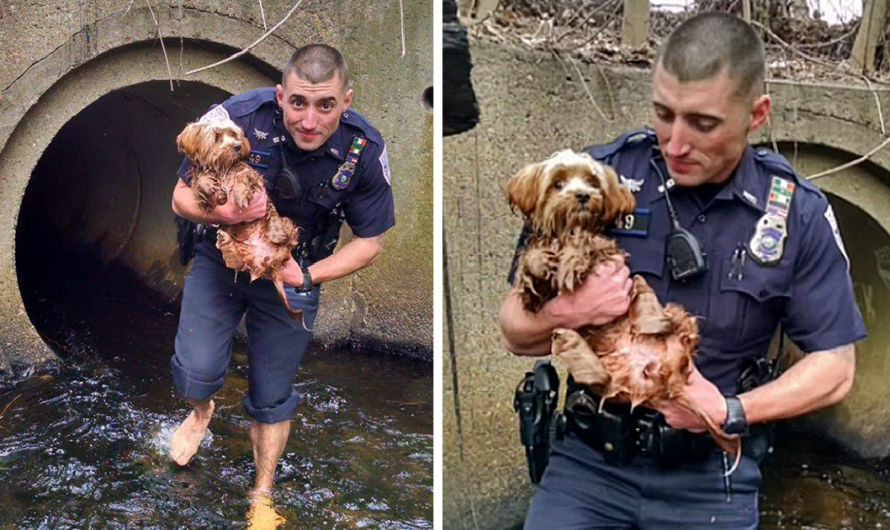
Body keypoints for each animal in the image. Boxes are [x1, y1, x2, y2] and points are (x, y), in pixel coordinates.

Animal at [175, 113, 304, 324]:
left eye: (234, 134)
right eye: (217, 137)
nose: (237, 146)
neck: (223, 167)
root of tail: (271, 264)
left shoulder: (252, 176)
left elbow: (244, 176)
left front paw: (241, 192)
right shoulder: (205, 193)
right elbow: (200, 184)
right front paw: (207, 185)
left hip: (284, 224)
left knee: (289, 236)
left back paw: (277, 232)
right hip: (243, 253)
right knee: (236, 262)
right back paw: (226, 242)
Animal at [502, 148, 740, 470]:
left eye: (592, 181)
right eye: (557, 183)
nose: (582, 195)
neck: (566, 228)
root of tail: (660, 373)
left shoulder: (608, 251)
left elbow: (586, 241)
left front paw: (572, 257)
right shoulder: (537, 297)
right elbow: (531, 265)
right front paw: (540, 261)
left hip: (670, 313)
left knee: (669, 317)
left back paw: (651, 321)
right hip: (610, 379)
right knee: (600, 376)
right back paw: (571, 341)